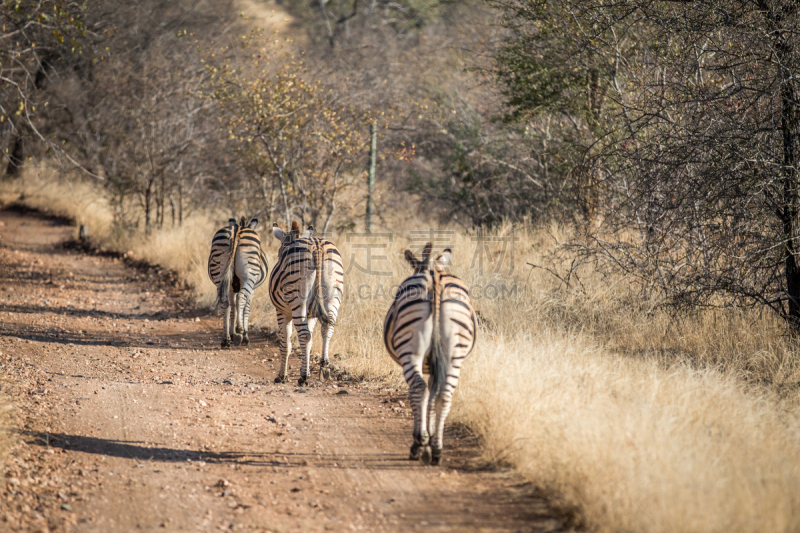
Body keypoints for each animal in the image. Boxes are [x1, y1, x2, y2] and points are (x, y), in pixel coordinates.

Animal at [206, 216, 268, 350]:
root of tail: (236, 231)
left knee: (224, 303)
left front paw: (233, 334)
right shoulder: (252, 290)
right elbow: (246, 308)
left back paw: (225, 340)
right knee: (241, 297)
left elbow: (233, 308)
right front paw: (243, 336)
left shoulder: (230, 287)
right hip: (248, 277)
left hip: (220, 276)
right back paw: (240, 330)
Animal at [268, 221, 344, 386]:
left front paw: (282, 376)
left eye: (280, 251)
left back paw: (303, 377)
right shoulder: (311, 315)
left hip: (298, 300)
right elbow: (308, 343)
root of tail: (317, 245)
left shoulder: (282, 312)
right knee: (327, 329)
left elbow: (286, 345)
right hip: (333, 298)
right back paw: (324, 366)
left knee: (304, 336)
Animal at [382, 243, 476, 464]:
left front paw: (424, 439)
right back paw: (437, 449)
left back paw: (419, 443)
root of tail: (435, 279)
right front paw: (432, 436)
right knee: (445, 395)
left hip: (411, 351)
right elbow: (434, 396)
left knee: (418, 388)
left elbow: (426, 394)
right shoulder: (436, 366)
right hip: (454, 354)